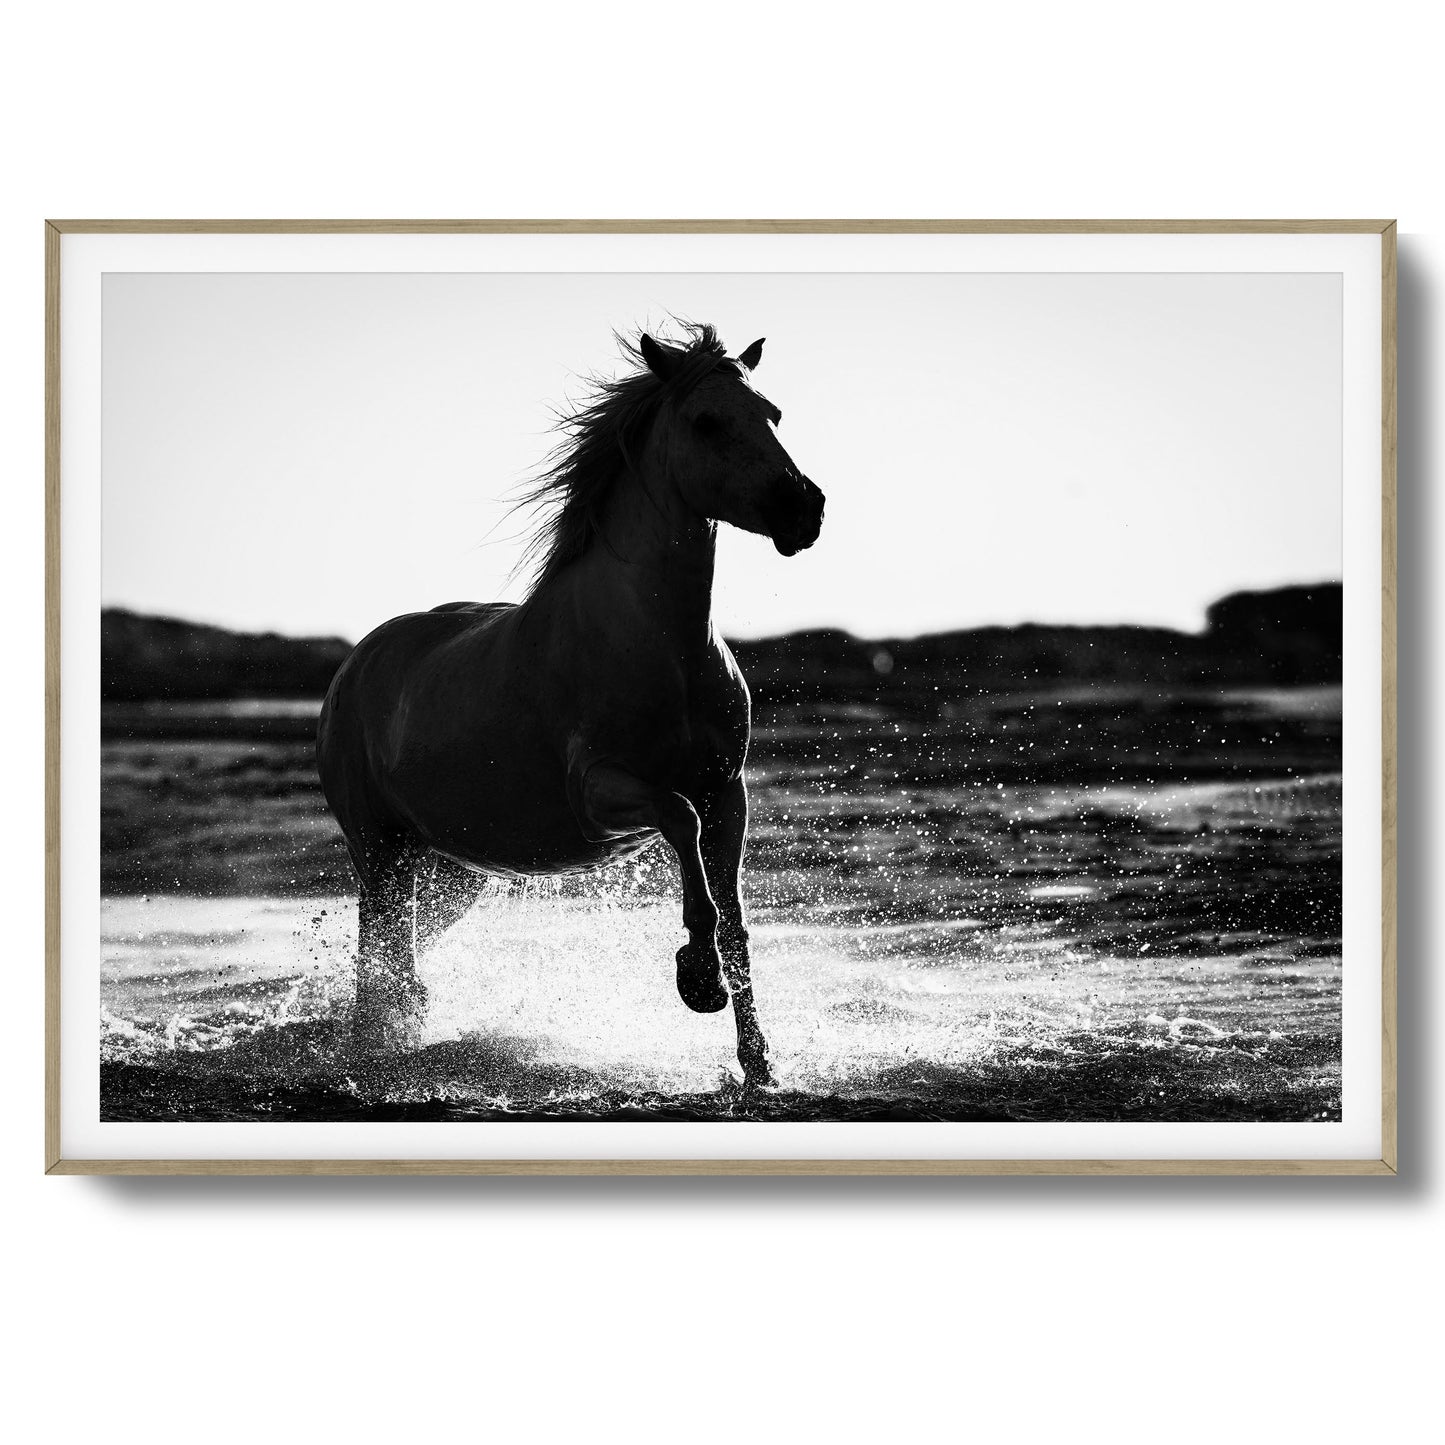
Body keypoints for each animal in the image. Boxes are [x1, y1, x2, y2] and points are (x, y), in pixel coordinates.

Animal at [316, 324, 825, 1087]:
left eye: (772, 414)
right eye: (707, 421)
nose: (803, 509)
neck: (661, 647)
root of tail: (352, 668)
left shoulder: (726, 793)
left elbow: (735, 919)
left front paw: (758, 1064)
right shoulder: (601, 791)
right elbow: (680, 828)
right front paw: (697, 979)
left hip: (451, 868)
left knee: (400, 957)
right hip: (378, 850)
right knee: (379, 956)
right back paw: (374, 1049)